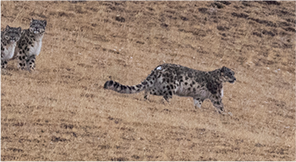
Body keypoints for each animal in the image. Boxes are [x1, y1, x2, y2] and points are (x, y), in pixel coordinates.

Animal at [104, 63, 236, 112]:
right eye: (229, 73)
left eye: (234, 73)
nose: (235, 78)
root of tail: (159, 67)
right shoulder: (216, 96)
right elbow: (220, 106)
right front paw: (227, 114)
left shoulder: (199, 97)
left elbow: (197, 104)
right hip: (171, 87)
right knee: (165, 98)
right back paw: (169, 105)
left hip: (159, 87)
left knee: (148, 89)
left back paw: (146, 98)